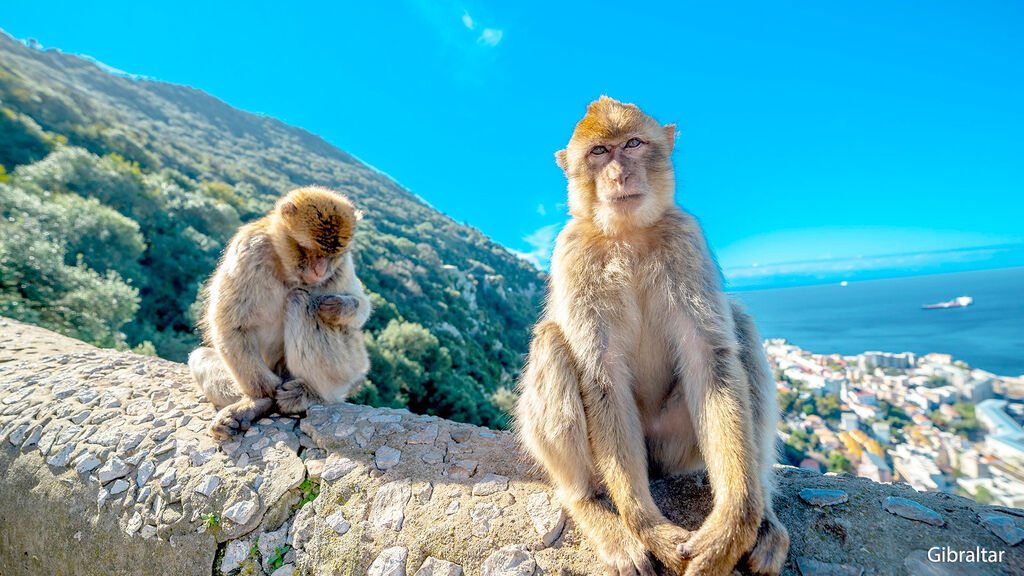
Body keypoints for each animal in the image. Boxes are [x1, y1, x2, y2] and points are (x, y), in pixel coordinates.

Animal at [189, 186, 372, 436]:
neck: (285, 266)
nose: (321, 271)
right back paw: (258, 404)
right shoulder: (250, 248)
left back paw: (311, 394)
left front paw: (337, 307)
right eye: (310, 251)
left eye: (331, 256)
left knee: (300, 301)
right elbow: (232, 324)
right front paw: (260, 398)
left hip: (351, 365)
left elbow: (361, 304)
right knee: (200, 356)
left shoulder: (343, 265)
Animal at [516, 98, 786, 573]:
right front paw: (647, 526)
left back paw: (764, 517)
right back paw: (591, 505)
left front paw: (733, 524)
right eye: (599, 151)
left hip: (676, 442)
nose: (618, 174)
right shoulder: (572, 252)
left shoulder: (686, 238)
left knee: (740, 326)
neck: (627, 234)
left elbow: (708, 356)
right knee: (551, 340)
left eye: (633, 144)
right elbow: (601, 374)